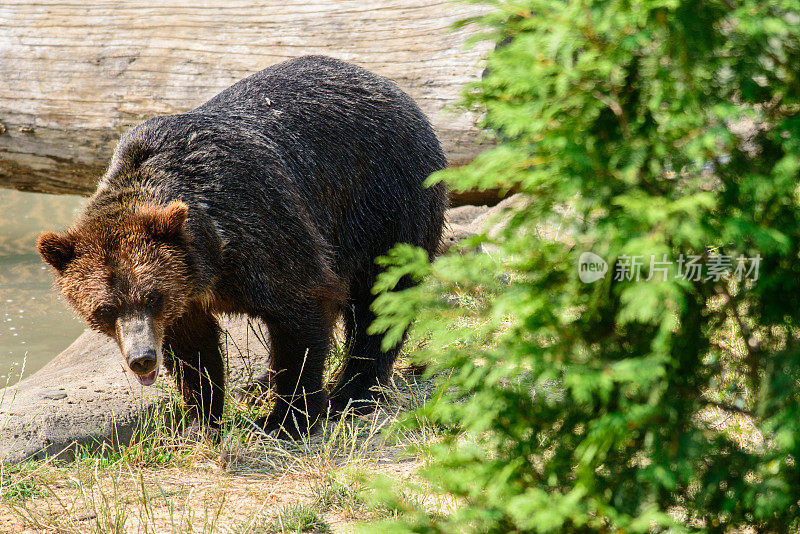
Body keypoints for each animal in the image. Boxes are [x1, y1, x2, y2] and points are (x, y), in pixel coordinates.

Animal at [37, 54, 446, 440]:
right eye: (105, 308)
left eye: (152, 296)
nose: (142, 359)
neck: (213, 257)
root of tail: (393, 88)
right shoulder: (187, 294)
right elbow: (193, 350)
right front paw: (201, 420)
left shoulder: (260, 227)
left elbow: (305, 306)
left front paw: (287, 419)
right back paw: (260, 386)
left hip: (384, 202)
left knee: (382, 297)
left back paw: (353, 391)